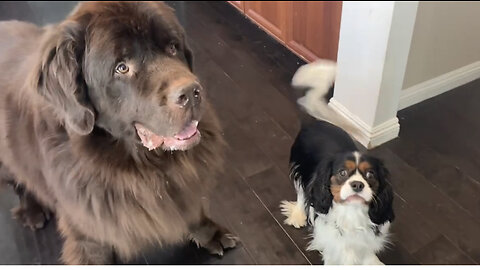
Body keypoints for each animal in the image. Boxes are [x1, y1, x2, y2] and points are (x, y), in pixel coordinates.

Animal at [0, 1, 238, 264]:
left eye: (173, 47)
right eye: (122, 68)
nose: (191, 92)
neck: (143, 164)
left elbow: (192, 206)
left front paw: (211, 233)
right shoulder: (88, 229)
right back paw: (32, 211)